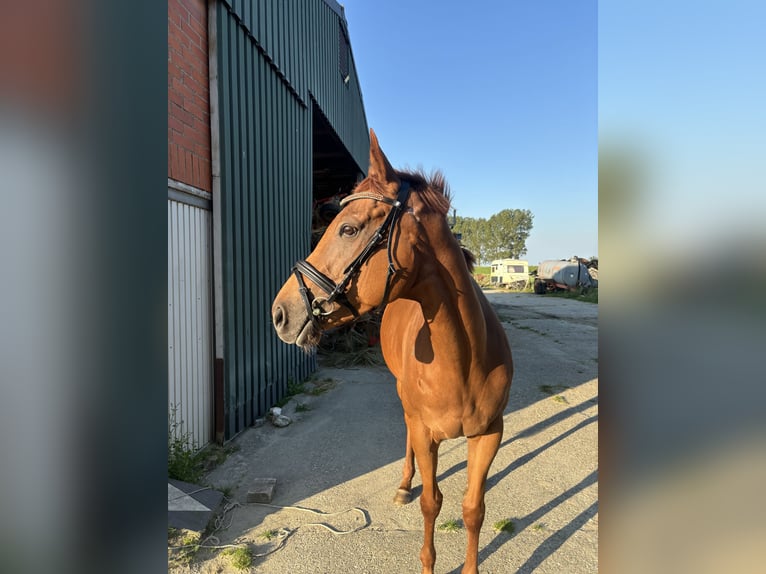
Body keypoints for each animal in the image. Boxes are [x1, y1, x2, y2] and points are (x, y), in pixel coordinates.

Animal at [272, 130, 512, 574]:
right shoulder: (426, 431)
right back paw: (403, 484)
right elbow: (432, 503)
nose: (280, 313)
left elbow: (473, 509)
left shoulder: (489, 433)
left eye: (348, 229)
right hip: (405, 400)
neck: (463, 362)